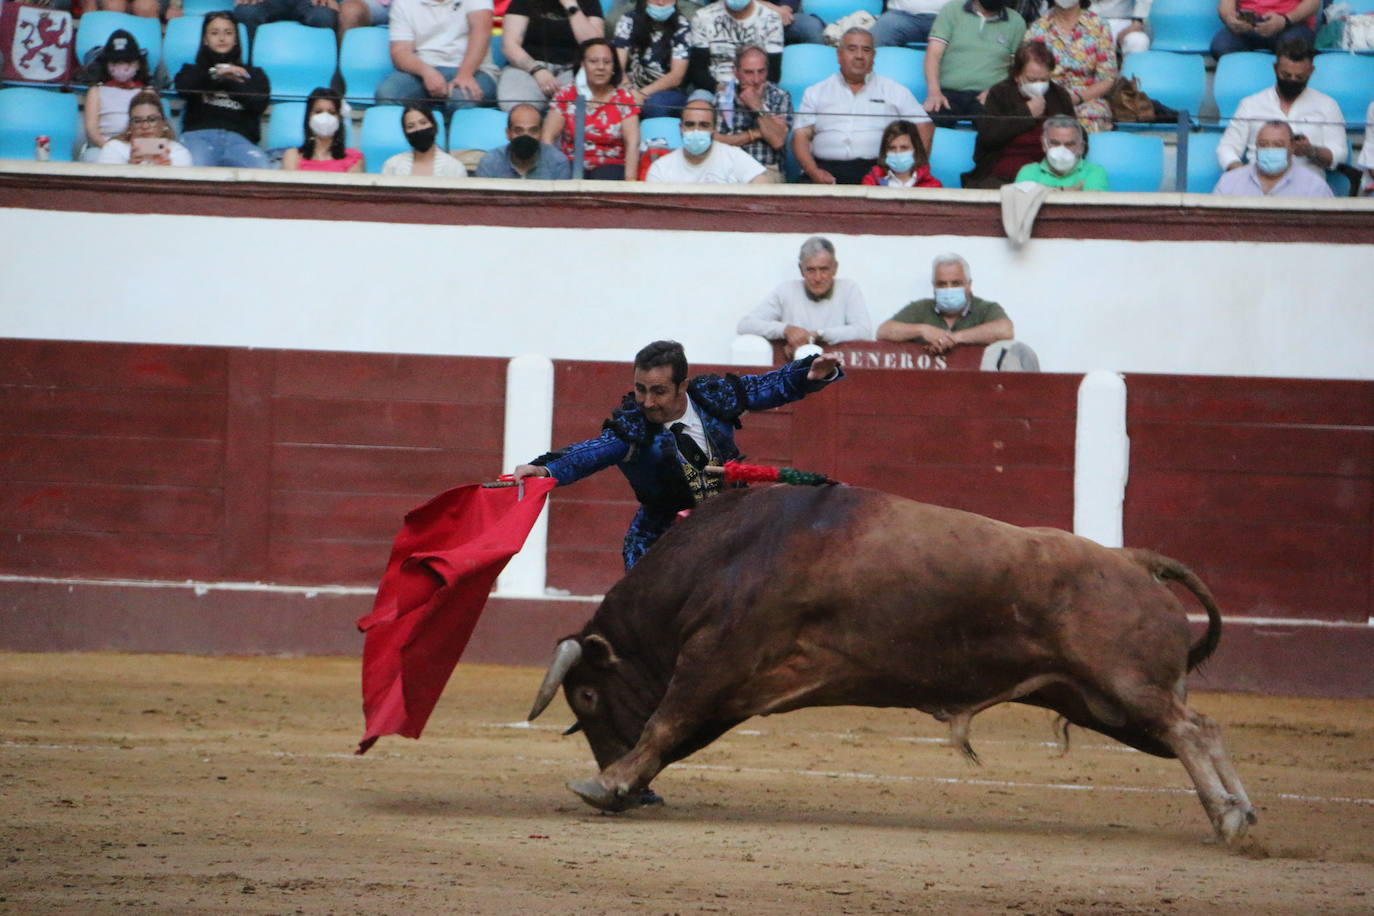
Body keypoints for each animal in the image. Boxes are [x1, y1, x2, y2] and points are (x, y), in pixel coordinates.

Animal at [524, 486, 1258, 845]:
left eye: (586, 699)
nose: (632, 800)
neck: (726, 557)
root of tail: (1135, 559)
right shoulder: (735, 686)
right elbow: (676, 732)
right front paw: (620, 783)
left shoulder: (714, 659)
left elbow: (665, 723)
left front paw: (606, 783)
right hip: (1102, 703)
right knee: (1203, 728)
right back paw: (1240, 814)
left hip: (1124, 688)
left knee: (1189, 730)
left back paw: (1228, 819)